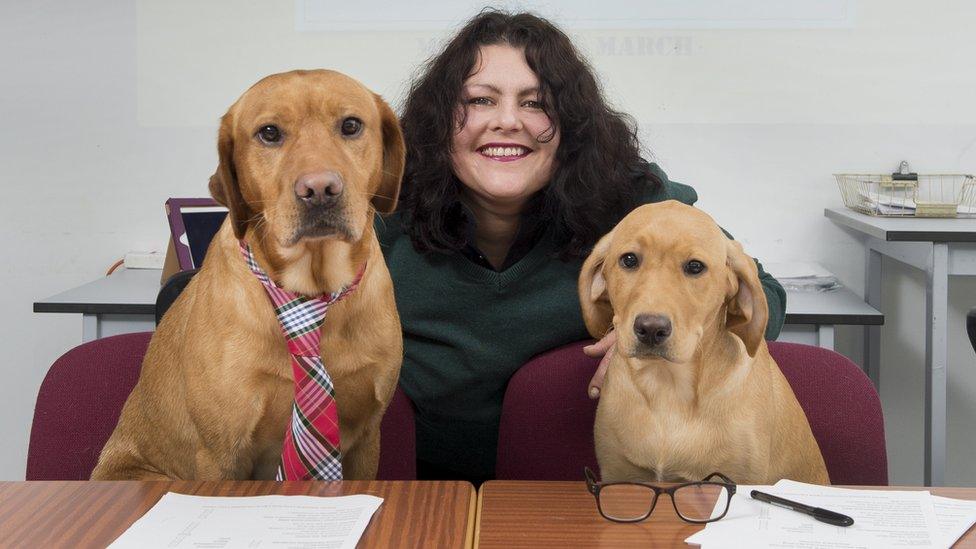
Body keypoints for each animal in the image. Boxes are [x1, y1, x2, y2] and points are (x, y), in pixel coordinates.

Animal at [94, 69, 404, 480]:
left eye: (351, 126)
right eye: (269, 133)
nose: (320, 189)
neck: (312, 290)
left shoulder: (367, 439)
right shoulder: (220, 454)